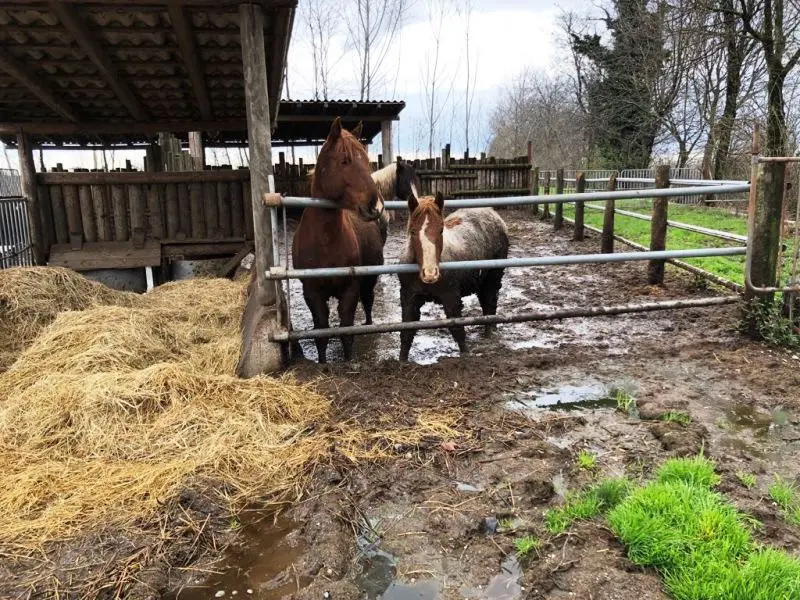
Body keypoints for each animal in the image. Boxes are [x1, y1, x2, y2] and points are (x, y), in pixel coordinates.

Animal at [292, 116, 386, 360]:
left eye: (367, 161)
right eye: (345, 161)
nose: (375, 205)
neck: (326, 242)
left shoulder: (350, 289)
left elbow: (346, 329)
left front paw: (348, 360)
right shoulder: (312, 293)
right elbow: (321, 331)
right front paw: (323, 361)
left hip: (368, 281)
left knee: (368, 301)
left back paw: (368, 324)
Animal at [398, 192, 510, 360]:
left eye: (441, 230)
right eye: (412, 231)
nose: (430, 273)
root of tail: (492, 212)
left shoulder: (451, 298)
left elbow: (457, 329)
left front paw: (465, 355)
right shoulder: (409, 299)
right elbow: (406, 332)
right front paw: (401, 361)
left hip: (493, 277)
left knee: (490, 301)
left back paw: (490, 332)